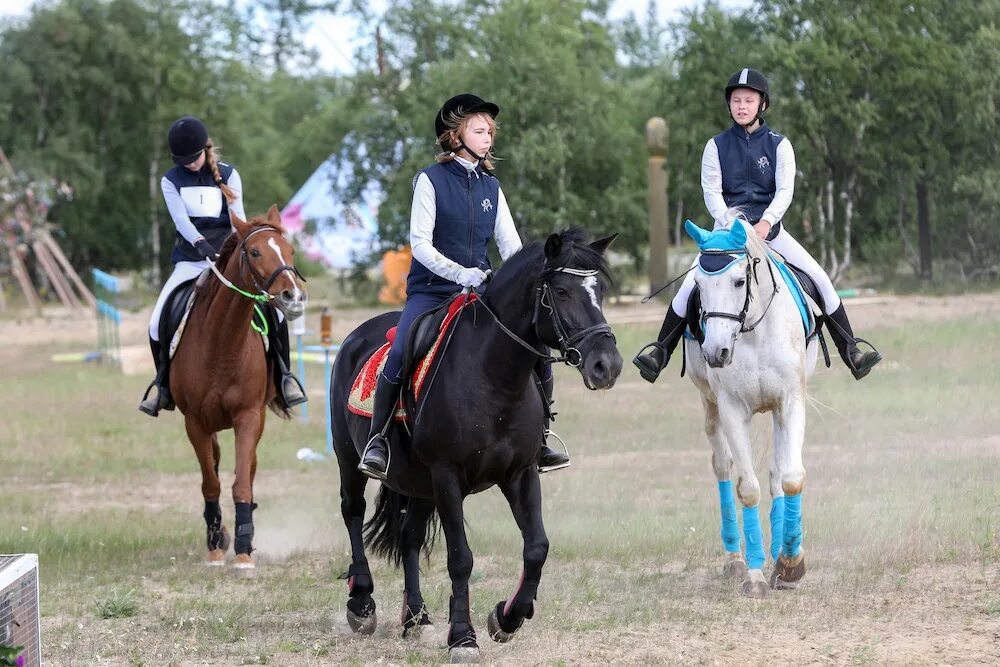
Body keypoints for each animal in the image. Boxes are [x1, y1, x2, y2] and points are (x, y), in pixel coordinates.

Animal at [171, 206, 304, 576]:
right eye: (255, 252)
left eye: (290, 251)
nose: (294, 297)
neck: (222, 344)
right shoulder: (195, 424)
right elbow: (211, 484)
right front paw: (216, 547)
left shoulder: (248, 417)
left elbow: (242, 482)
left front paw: (244, 551)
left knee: (251, 468)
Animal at [332, 230, 620, 664]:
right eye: (562, 291)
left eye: (599, 289)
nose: (608, 365)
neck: (493, 376)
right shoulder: (448, 477)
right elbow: (461, 558)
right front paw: (463, 637)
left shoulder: (520, 474)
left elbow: (537, 547)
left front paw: (507, 617)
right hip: (351, 460)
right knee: (352, 512)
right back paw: (362, 604)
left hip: (419, 484)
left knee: (409, 536)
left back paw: (417, 618)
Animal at [684, 217, 816, 596]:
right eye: (698, 284)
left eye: (739, 281)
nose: (716, 352)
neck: (754, 334)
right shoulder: (731, 410)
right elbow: (748, 488)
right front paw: (756, 576)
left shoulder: (790, 402)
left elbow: (790, 479)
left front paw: (790, 564)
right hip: (710, 407)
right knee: (722, 466)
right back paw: (735, 559)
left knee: (776, 474)